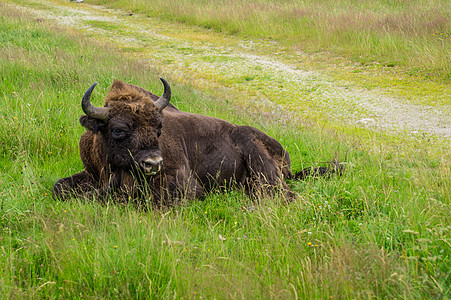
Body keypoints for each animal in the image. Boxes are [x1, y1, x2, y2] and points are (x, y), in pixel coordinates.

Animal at [53, 78, 340, 206]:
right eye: (117, 130)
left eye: (159, 127)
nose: (153, 163)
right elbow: (60, 187)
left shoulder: (184, 185)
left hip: (259, 159)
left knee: (281, 193)